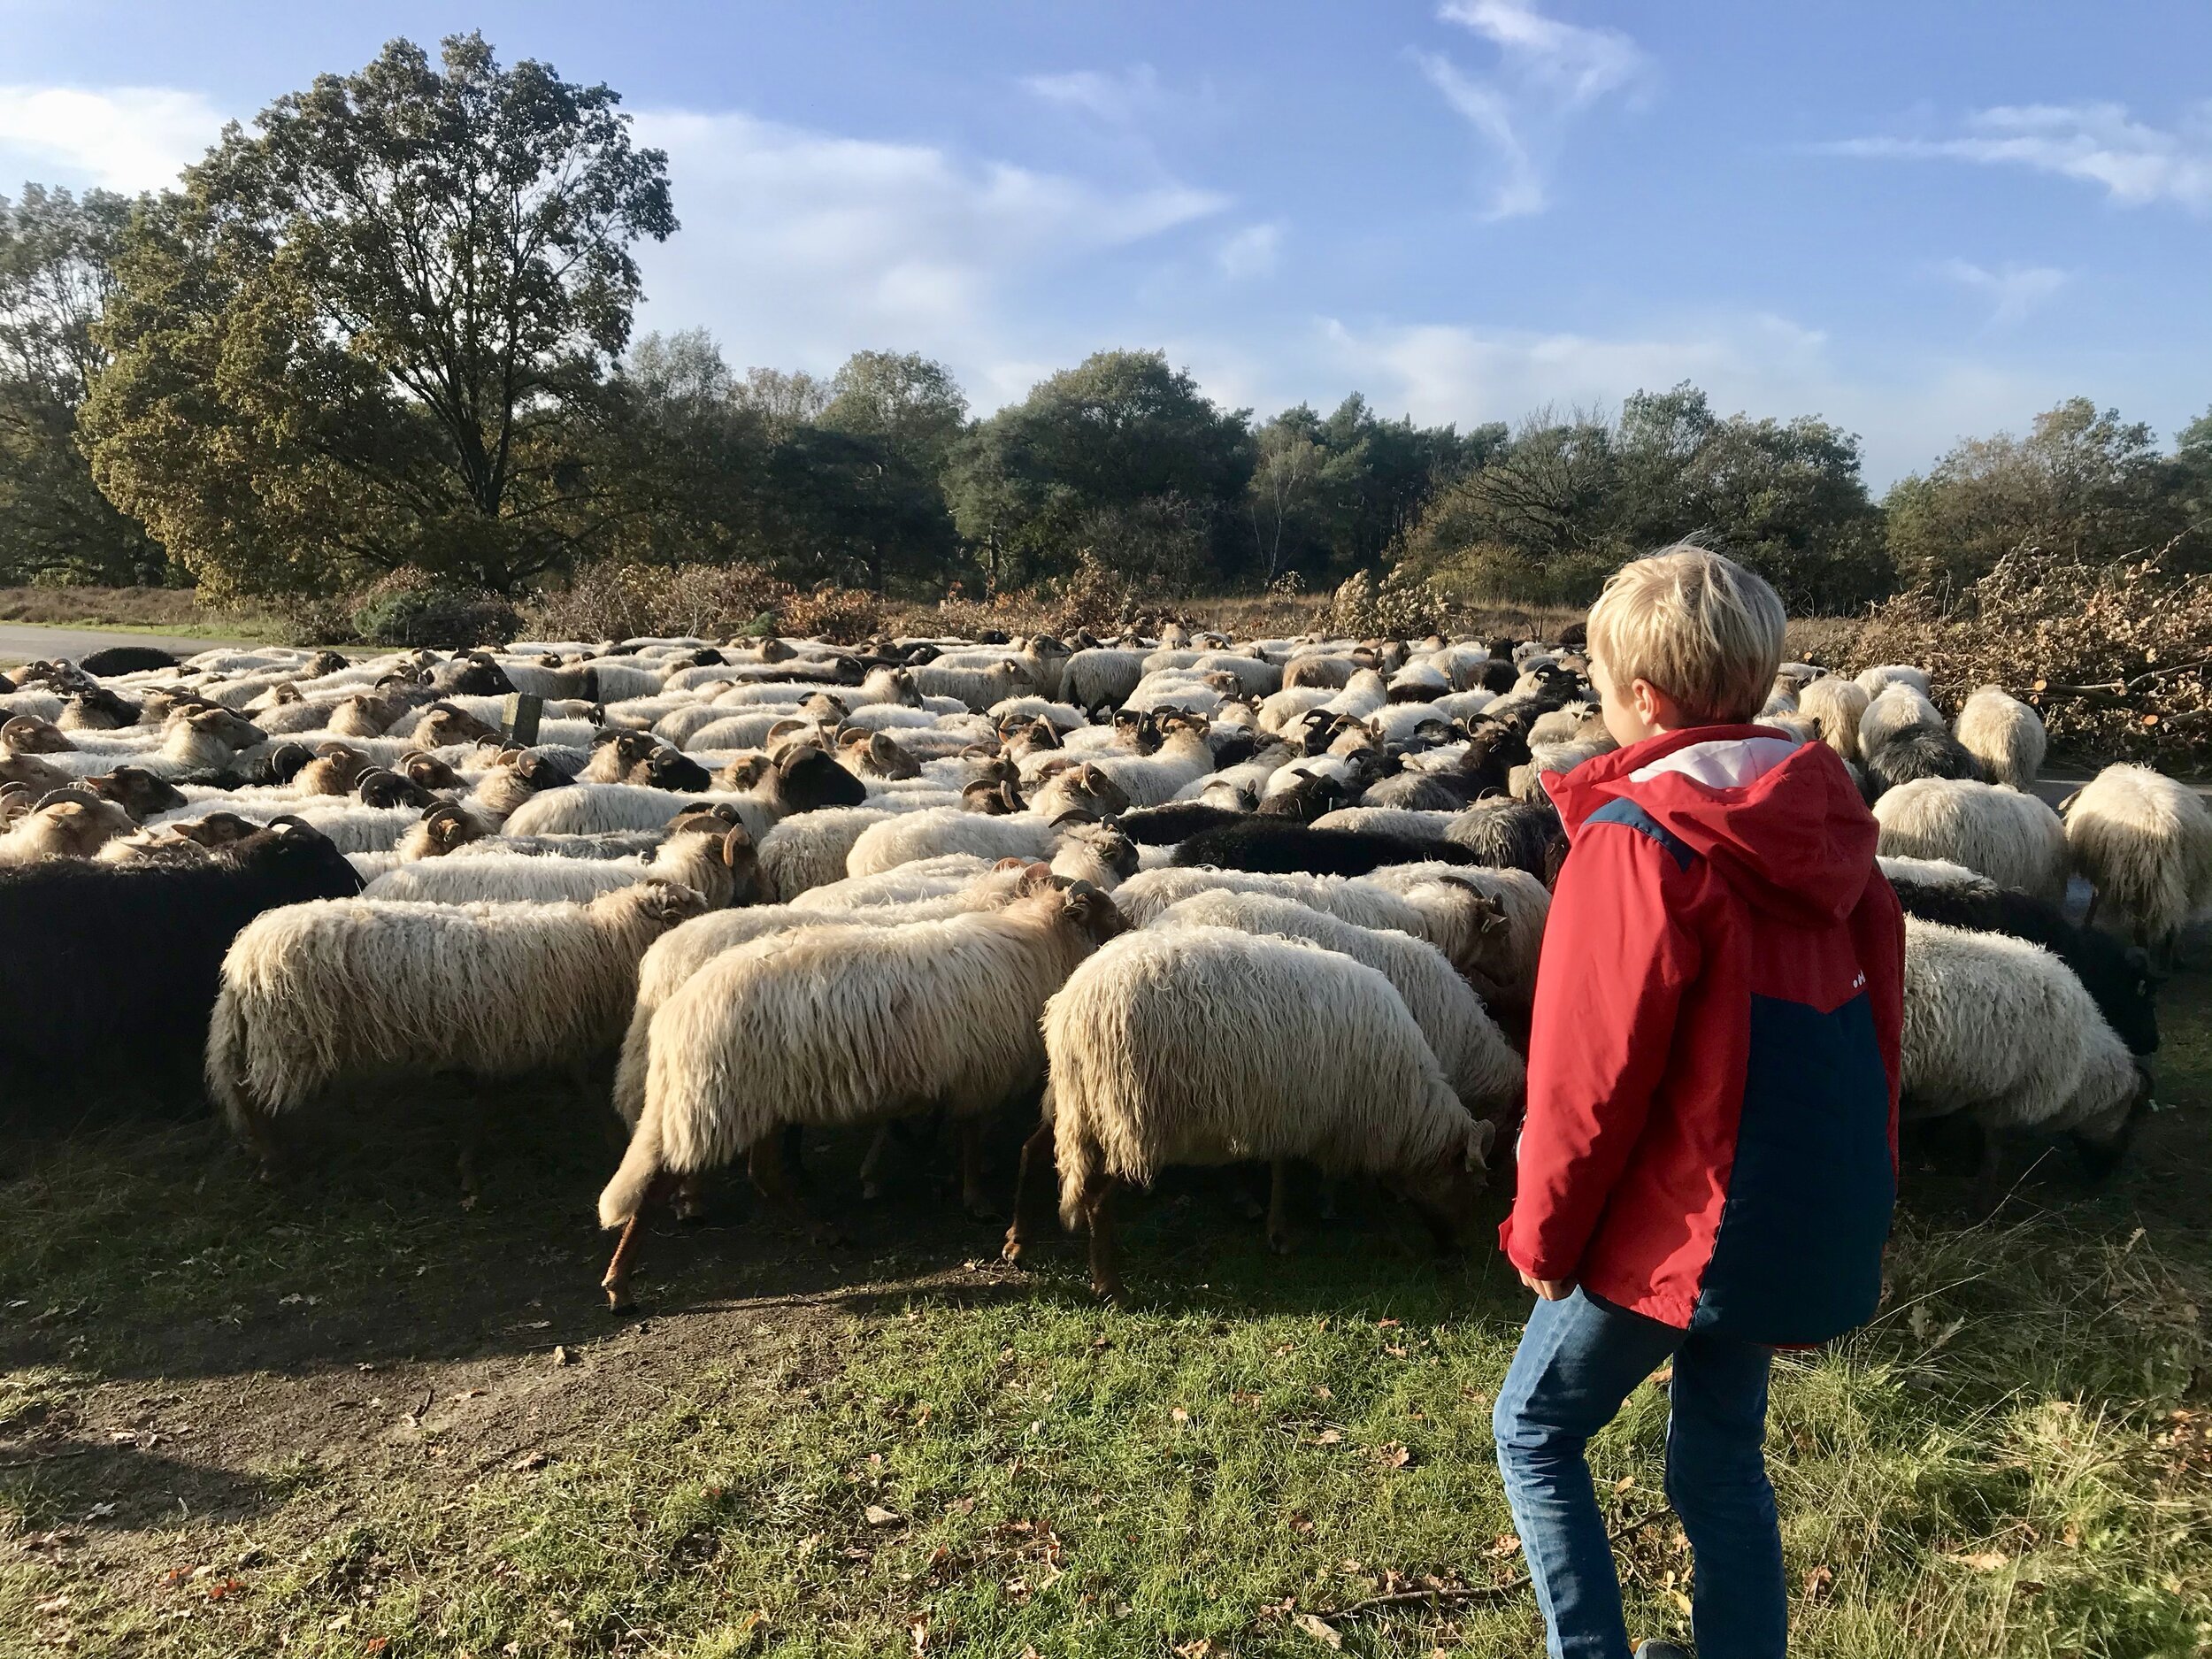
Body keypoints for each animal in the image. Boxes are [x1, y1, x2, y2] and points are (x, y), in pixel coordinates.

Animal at [1026, 929, 1495, 1310]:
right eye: (1472, 1186)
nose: (1461, 1252)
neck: (1407, 1102)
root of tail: (1070, 1007)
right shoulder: (1351, 1117)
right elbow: (1363, 1184)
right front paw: (1393, 1240)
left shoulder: (1293, 1112)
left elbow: (1282, 1172)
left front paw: (1278, 1233)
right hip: (1129, 1117)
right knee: (1098, 1199)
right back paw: (1111, 1286)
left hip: (1088, 1111)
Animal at [2062, 761, 2212, 956]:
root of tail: (2170, 827)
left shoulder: (2107, 870)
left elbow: (2096, 898)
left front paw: (2086, 926)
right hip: (2183, 877)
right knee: (2172, 922)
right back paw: (2167, 955)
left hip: (2145, 877)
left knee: (2144, 920)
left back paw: (2143, 949)